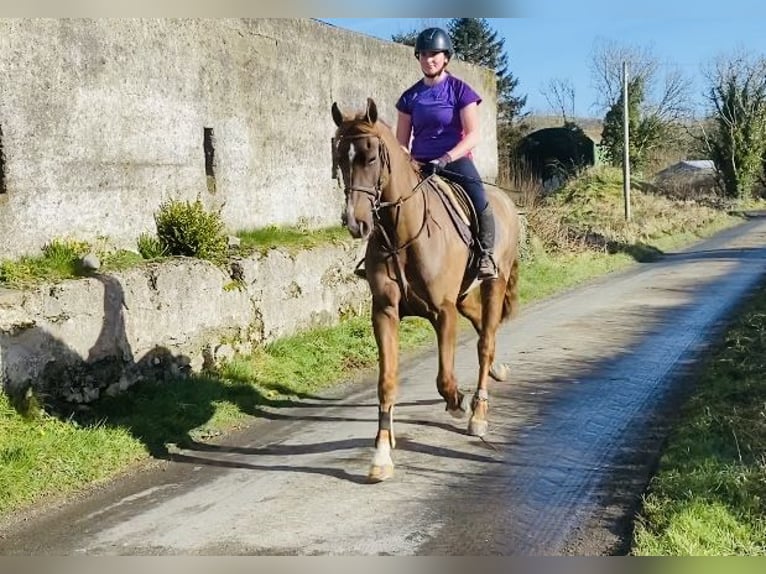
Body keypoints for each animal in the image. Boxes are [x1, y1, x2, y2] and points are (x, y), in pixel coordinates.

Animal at [330, 98, 520, 482]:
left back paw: (478, 411)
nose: (356, 223)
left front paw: (458, 403)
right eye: (340, 157)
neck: (401, 233)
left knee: (486, 343)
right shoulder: (385, 313)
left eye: (371, 157)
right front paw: (382, 454)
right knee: (482, 327)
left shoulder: (443, 311)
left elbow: (444, 379)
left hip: (494, 282)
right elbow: (386, 382)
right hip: (464, 296)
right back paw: (496, 373)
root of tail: (506, 202)